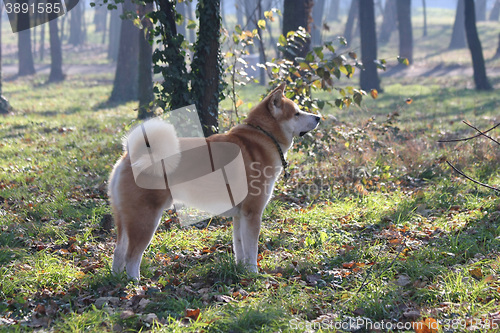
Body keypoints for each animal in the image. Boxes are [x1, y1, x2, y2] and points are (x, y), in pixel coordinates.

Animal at [108, 82, 320, 278]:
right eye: (297, 113)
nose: (318, 117)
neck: (263, 136)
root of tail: (131, 155)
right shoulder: (252, 212)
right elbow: (252, 250)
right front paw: (253, 274)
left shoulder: (240, 215)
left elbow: (240, 248)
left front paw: (241, 271)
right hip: (145, 219)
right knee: (131, 257)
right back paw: (134, 282)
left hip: (125, 219)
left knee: (118, 253)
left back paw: (117, 281)